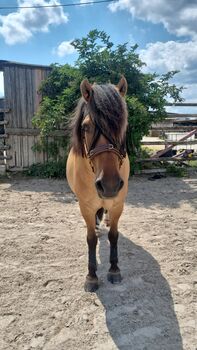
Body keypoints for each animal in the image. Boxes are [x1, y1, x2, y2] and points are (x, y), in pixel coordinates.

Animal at [67, 76, 130, 292]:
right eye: (86, 127)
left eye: (123, 125)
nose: (109, 185)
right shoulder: (85, 207)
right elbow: (91, 239)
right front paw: (92, 276)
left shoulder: (118, 204)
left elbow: (114, 236)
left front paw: (114, 270)